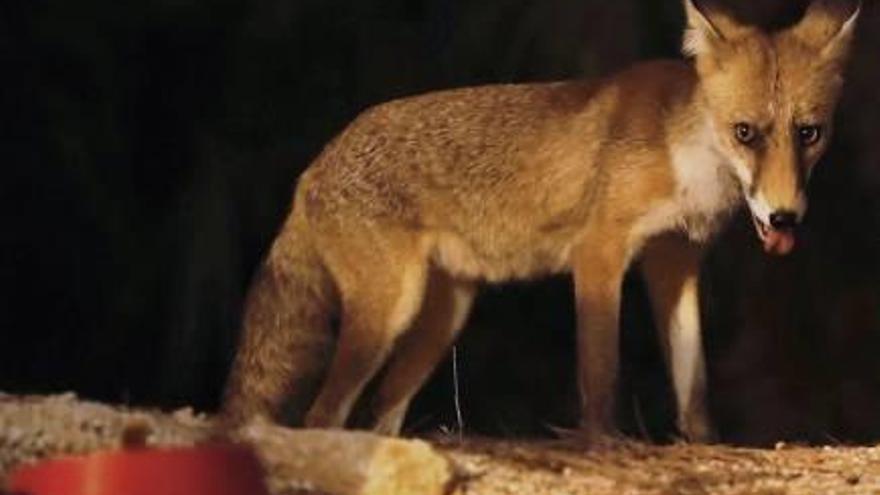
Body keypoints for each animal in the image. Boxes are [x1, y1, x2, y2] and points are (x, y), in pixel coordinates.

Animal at [222, 0, 860, 448]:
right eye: (745, 132)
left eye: (809, 133)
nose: (784, 215)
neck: (688, 157)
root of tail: (313, 165)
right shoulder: (600, 251)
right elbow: (600, 369)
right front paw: (601, 442)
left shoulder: (672, 263)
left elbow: (693, 379)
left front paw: (704, 443)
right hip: (389, 313)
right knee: (320, 415)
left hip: (442, 319)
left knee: (379, 413)